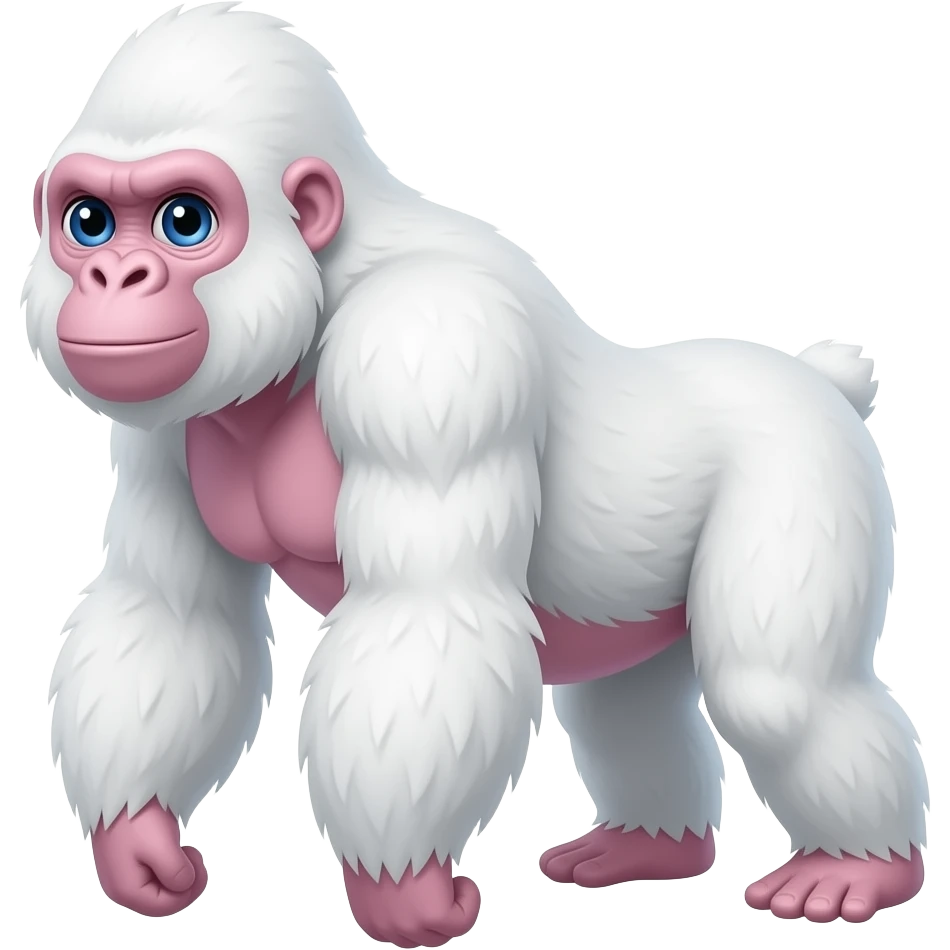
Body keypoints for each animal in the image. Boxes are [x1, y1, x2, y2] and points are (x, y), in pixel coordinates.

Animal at [23, 3, 927, 943]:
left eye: (184, 220)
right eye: (88, 221)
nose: (114, 275)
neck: (324, 287)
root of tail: (817, 376)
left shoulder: (428, 346)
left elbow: (428, 613)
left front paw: (401, 890)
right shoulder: (163, 427)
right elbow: (171, 611)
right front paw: (135, 840)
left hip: (804, 463)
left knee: (777, 694)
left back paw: (861, 868)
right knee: (627, 702)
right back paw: (649, 846)